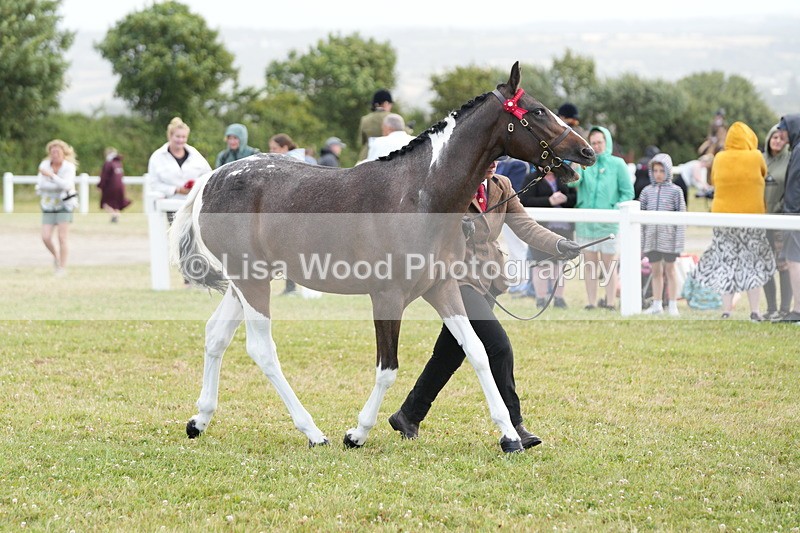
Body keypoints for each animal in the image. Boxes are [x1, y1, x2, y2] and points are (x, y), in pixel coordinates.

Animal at [170, 62, 596, 452]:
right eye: (537, 111)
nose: (586, 151)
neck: (418, 195)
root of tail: (210, 180)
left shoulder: (443, 289)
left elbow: (476, 352)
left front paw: (509, 437)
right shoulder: (387, 297)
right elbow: (387, 368)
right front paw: (356, 433)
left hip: (246, 281)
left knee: (216, 335)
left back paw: (199, 421)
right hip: (252, 281)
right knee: (261, 350)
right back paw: (313, 432)